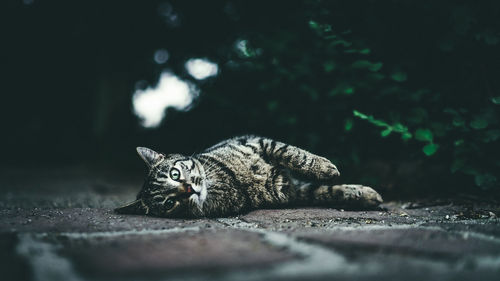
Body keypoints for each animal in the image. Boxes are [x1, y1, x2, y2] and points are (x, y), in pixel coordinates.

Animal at [116, 135, 382, 217]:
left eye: (174, 173)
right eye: (169, 203)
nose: (189, 189)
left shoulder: (256, 141)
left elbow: (293, 153)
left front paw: (325, 168)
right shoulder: (292, 193)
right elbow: (322, 193)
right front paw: (360, 194)